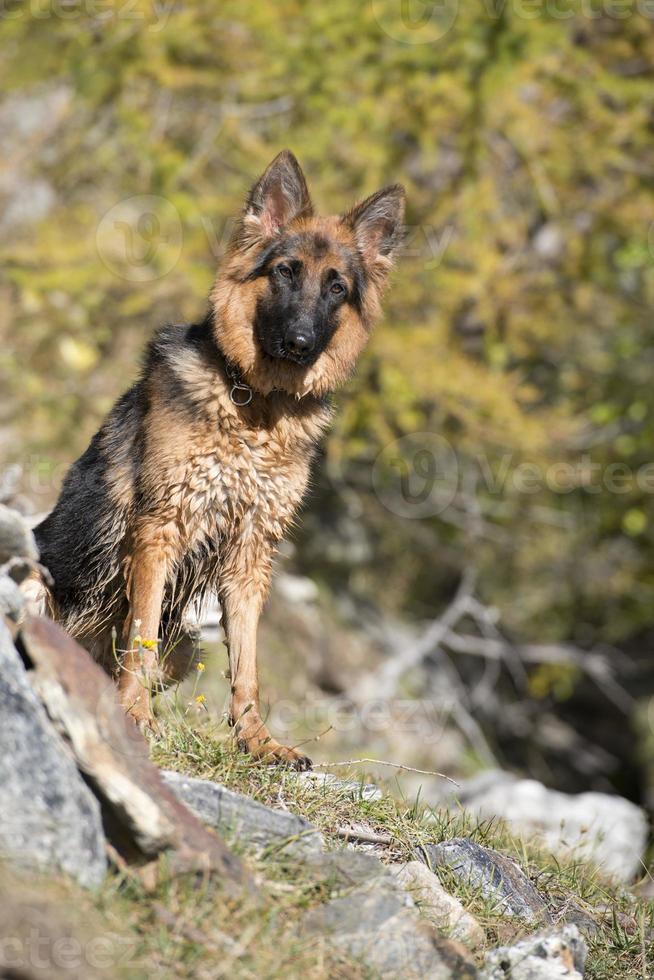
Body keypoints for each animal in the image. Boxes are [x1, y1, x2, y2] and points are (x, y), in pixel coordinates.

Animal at [36, 151, 408, 764]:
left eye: (336, 287)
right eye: (285, 272)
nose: (301, 344)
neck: (257, 406)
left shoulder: (252, 554)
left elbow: (248, 663)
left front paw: (256, 739)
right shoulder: (160, 528)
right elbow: (139, 637)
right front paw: (135, 719)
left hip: (189, 643)